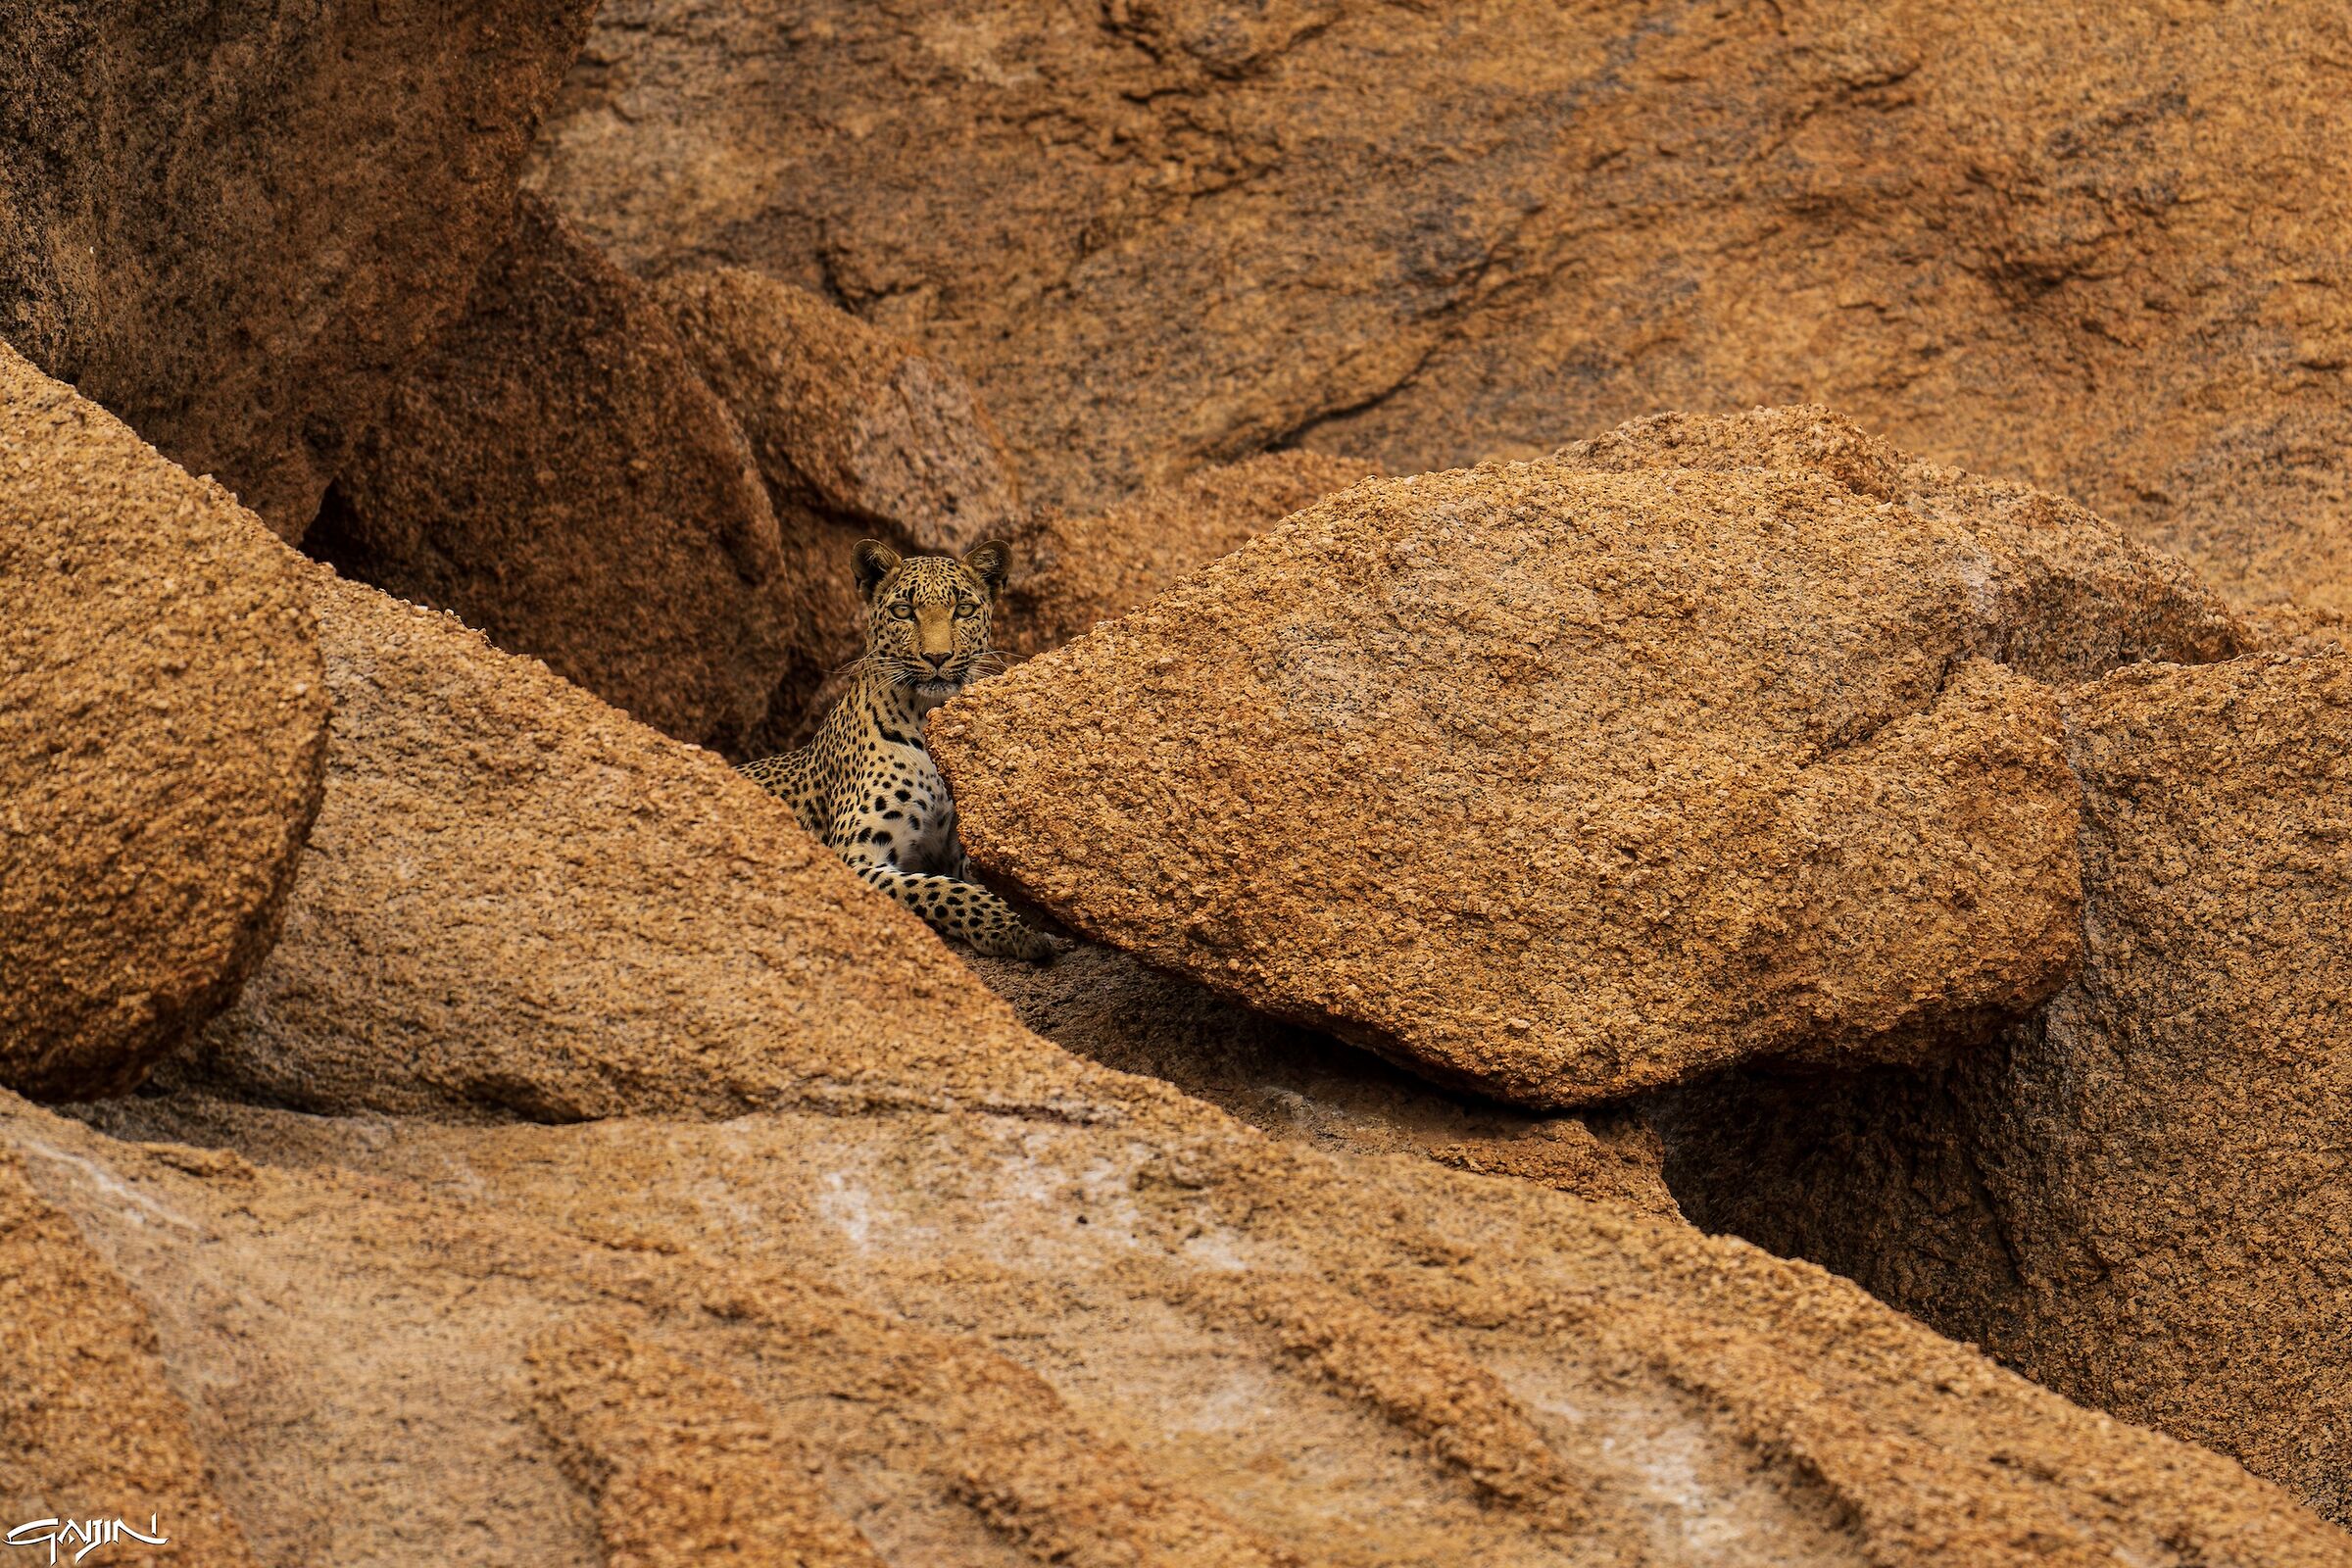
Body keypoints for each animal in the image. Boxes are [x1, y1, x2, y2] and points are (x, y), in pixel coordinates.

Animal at [740, 538, 1064, 962]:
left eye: (963, 609)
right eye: (903, 611)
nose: (938, 657)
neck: (926, 720)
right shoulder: (854, 857)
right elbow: (939, 890)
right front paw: (1013, 928)